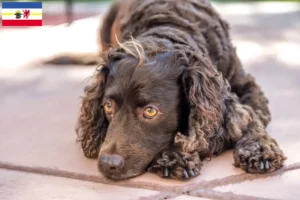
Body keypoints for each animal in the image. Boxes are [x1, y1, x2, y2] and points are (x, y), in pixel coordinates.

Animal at [47, 0, 286, 180]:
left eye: (150, 111)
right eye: (108, 106)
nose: (107, 164)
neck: (169, 27)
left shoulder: (248, 88)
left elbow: (251, 118)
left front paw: (259, 149)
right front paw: (175, 156)